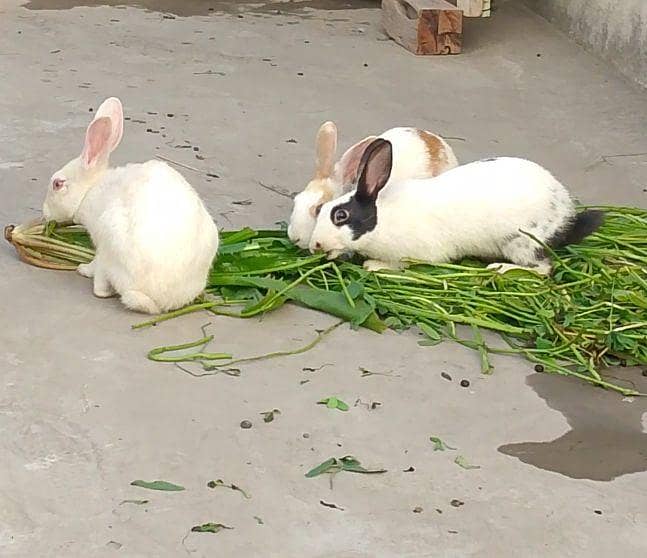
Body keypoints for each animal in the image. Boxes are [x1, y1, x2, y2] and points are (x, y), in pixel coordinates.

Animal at [42, 97, 219, 314]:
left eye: (57, 184)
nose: (45, 212)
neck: (90, 191)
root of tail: (163, 300)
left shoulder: (100, 245)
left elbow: (96, 266)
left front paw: (83, 269)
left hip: (112, 246)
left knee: (104, 285)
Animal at [308, 138, 603, 275]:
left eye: (340, 215)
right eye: (320, 210)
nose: (315, 245)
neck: (382, 220)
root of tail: (565, 215)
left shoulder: (420, 253)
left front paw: (374, 265)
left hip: (521, 243)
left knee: (542, 269)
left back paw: (500, 269)